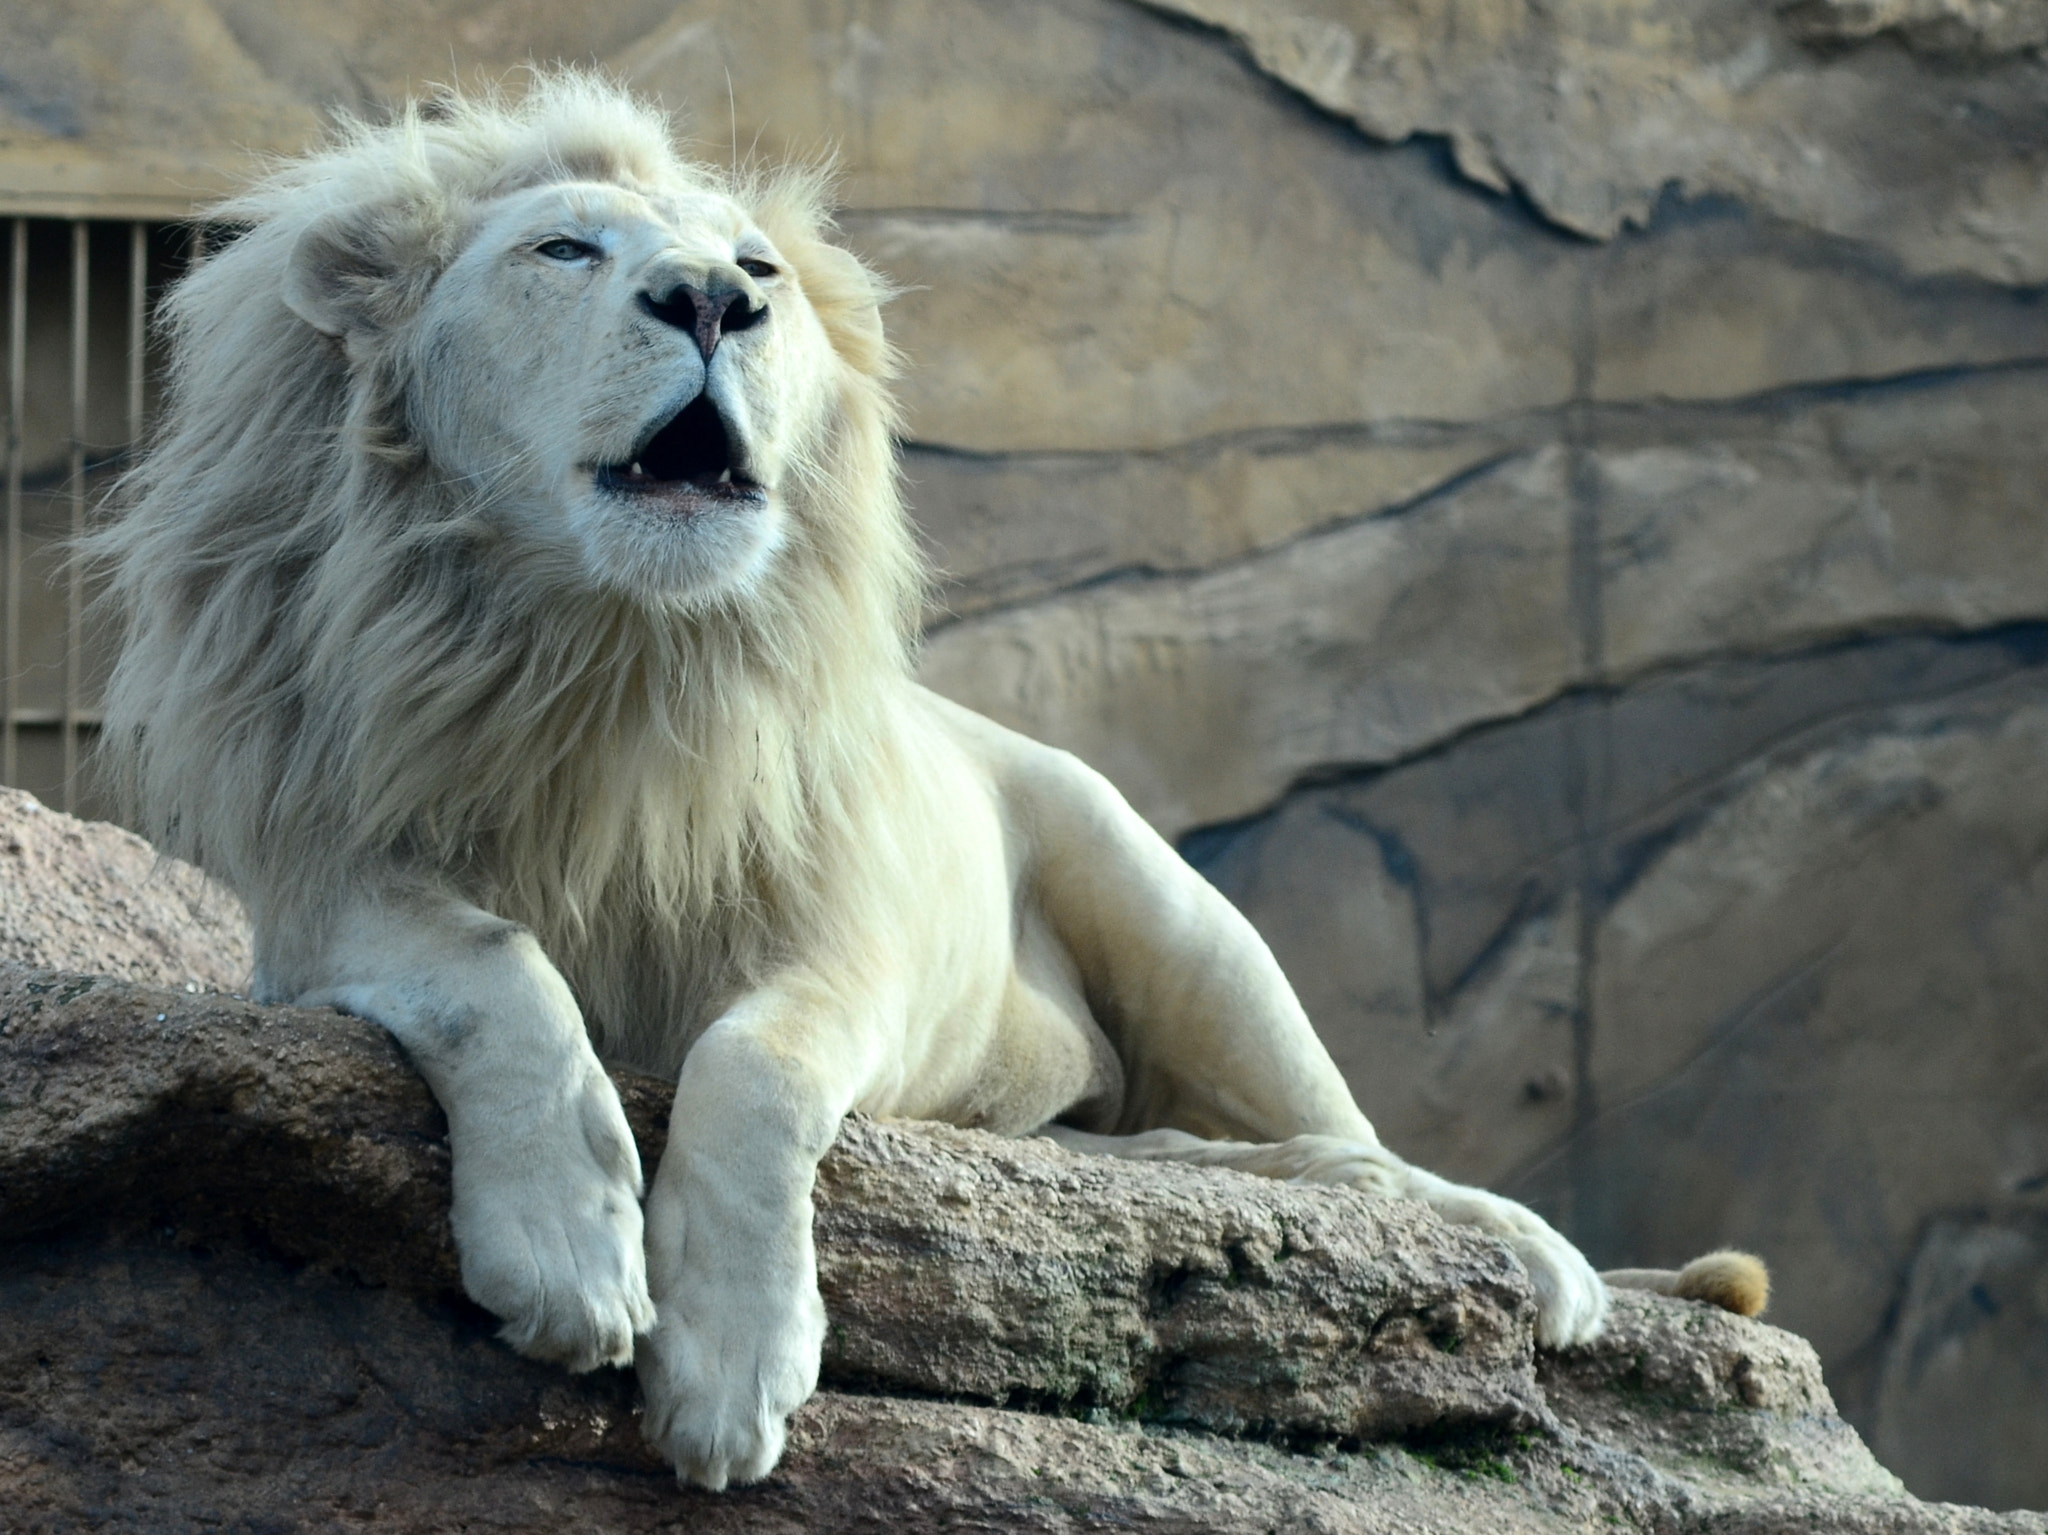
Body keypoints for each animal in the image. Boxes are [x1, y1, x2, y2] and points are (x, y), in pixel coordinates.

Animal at [91, 74, 1766, 1489]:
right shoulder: (320, 886)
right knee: (1223, 1161)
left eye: (757, 267)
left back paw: (1534, 1258)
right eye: (563, 247)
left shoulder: (855, 944)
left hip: (1175, 912)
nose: (712, 302)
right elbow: (492, 970)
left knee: (1356, 1149)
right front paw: (568, 1252)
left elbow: (754, 1066)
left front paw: (728, 1373)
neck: (614, 652)